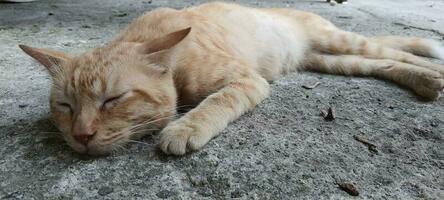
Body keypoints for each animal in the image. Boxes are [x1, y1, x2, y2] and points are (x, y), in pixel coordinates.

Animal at [19, 1, 444, 156]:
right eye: (65, 106)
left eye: (112, 100)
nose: (82, 135)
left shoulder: (247, 80)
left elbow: (216, 101)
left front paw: (184, 128)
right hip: (331, 61)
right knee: (382, 63)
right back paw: (425, 82)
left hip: (339, 40)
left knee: (394, 50)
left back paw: (435, 71)